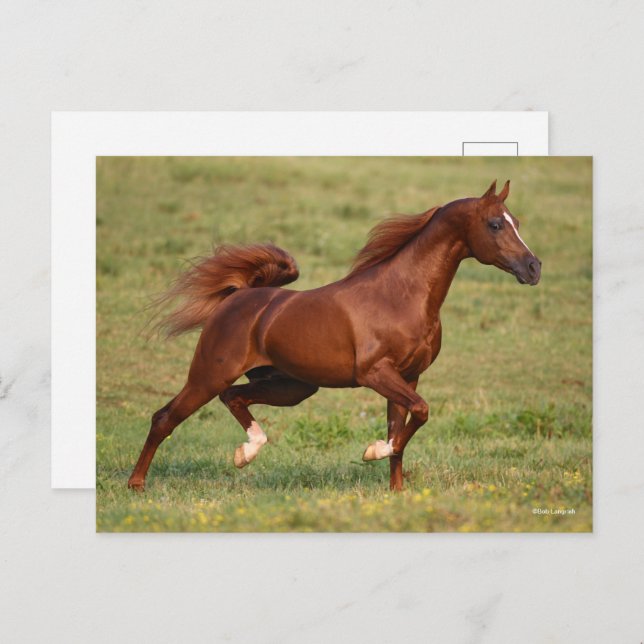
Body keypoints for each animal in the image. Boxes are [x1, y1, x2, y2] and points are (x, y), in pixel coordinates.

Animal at [128, 180, 541, 492]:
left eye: (518, 221)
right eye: (495, 224)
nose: (534, 267)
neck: (401, 296)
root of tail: (237, 297)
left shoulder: (408, 376)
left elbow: (402, 429)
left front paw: (396, 491)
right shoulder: (375, 373)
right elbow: (419, 414)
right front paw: (372, 451)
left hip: (292, 386)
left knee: (234, 398)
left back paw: (246, 453)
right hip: (210, 375)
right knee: (164, 418)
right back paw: (137, 484)